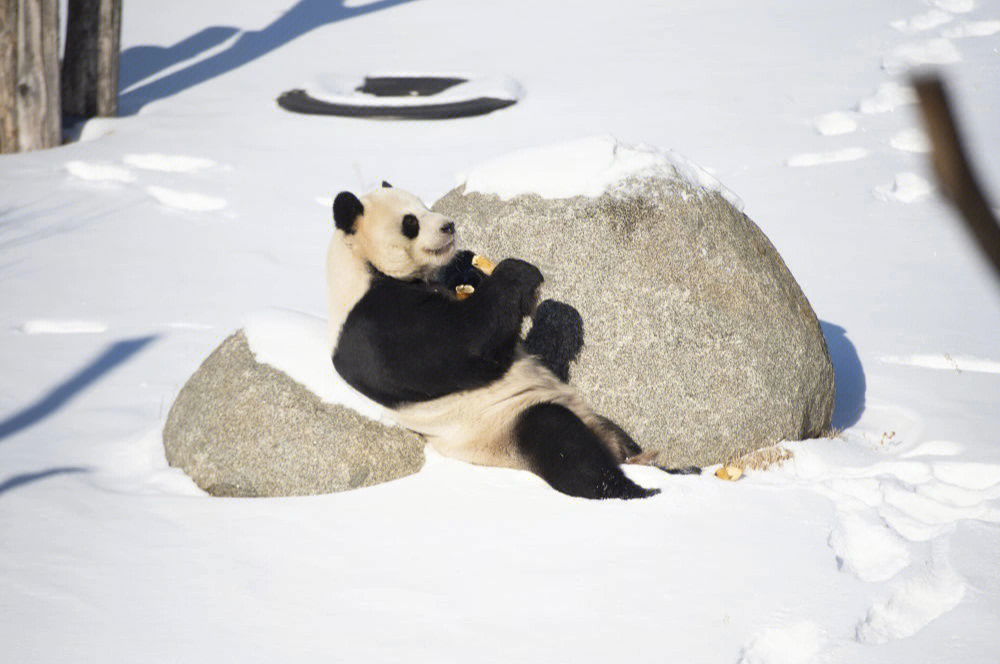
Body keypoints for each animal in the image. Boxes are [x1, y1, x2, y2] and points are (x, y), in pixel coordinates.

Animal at [328, 182, 696, 498]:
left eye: (425, 206)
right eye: (410, 222)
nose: (449, 226)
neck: (359, 263)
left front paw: (468, 265)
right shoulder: (374, 323)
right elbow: (460, 344)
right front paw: (517, 272)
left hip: (587, 420)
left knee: (619, 439)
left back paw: (676, 470)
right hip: (504, 429)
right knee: (563, 444)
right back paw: (636, 490)